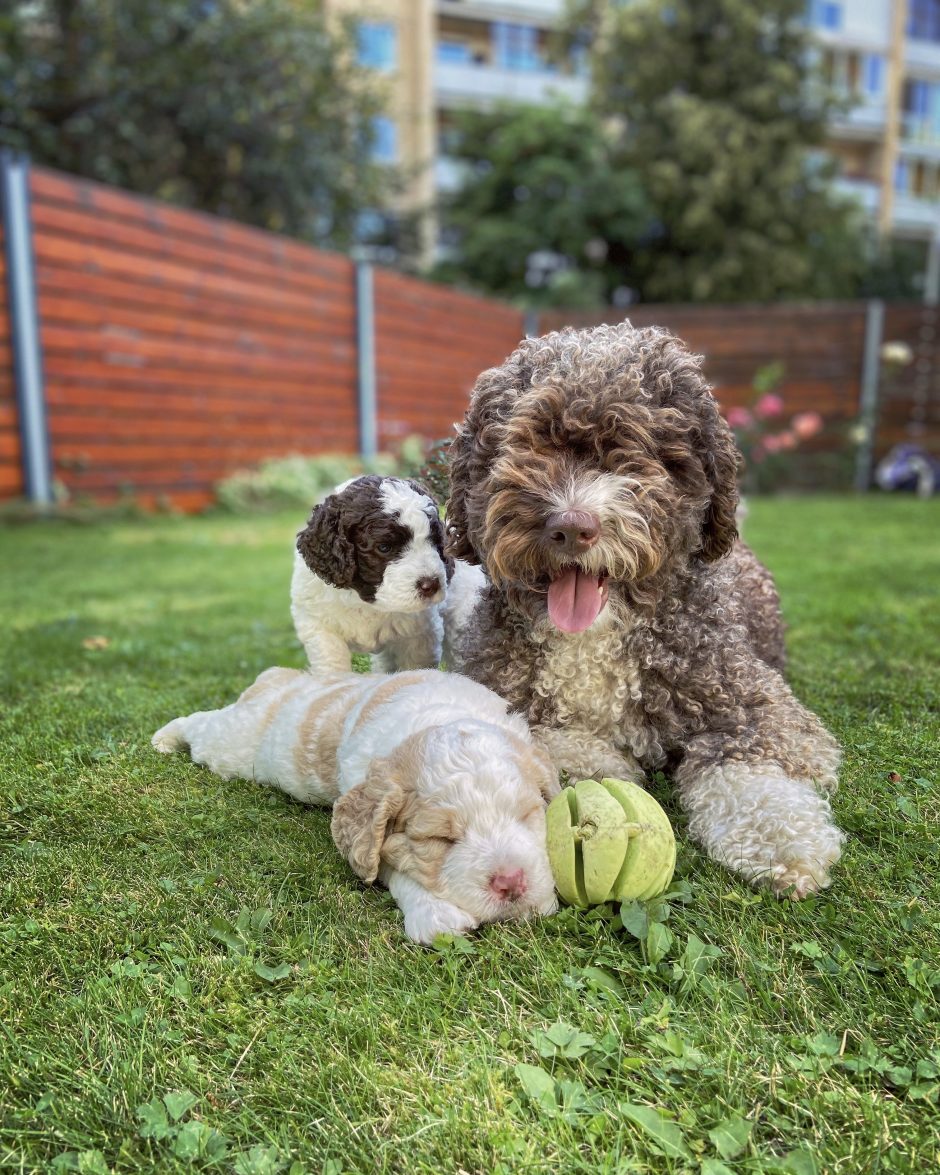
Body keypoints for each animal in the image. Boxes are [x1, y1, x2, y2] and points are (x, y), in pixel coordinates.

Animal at [152, 672, 559, 944]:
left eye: (527, 815)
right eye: (441, 839)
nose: (511, 883)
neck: (439, 716)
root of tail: (280, 677)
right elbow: (393, 868)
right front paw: (435, 915)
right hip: (235, 746)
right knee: (202, 724)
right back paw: (163, 739)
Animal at [293, 474, 455, 676]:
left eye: (434, 541)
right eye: (384, 547)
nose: (431, 585)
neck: (367, 601)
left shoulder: (421, 634)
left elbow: (415, 668)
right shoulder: (320, 625)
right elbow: (332, 663)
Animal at [448, 321, 845, 897]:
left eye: (632, 452)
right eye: (527, 444)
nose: (571, 526)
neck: (592, 639)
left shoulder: (754, 706)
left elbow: (753, 768)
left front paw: (782, 842)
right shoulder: (498, 689)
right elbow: (543, 739)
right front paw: (603, 765)